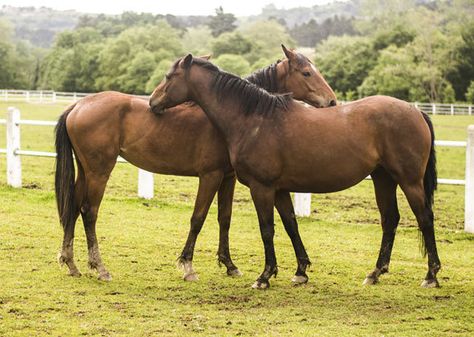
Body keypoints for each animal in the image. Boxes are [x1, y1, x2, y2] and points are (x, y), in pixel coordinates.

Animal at [55, 44, 336, 280]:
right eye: (307, 73)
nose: (332, 101)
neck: (236, 115)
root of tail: (78, 105)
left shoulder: (227, 178)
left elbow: (225, 218)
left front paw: (229, 265)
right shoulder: (210, 175)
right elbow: (198, 218)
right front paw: (188, 267)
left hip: (86, 171)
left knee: (74, 207)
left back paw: (71, 263)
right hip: (99, 171)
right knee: (89, 211)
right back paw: (99, 267)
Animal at [150, 55, 442, 288]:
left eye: (169, 76)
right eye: (306, 72)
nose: (152, 102)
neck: (255, 118)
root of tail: (416, 111)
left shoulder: (262, 188)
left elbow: (267, 229)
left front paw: (265, 276)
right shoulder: (279, 189)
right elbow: (290, 224)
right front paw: (300, 271)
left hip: (409, 181)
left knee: (425, 219)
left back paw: (431, 275)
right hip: (383, 179)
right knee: (390, 219)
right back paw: (375, 273)